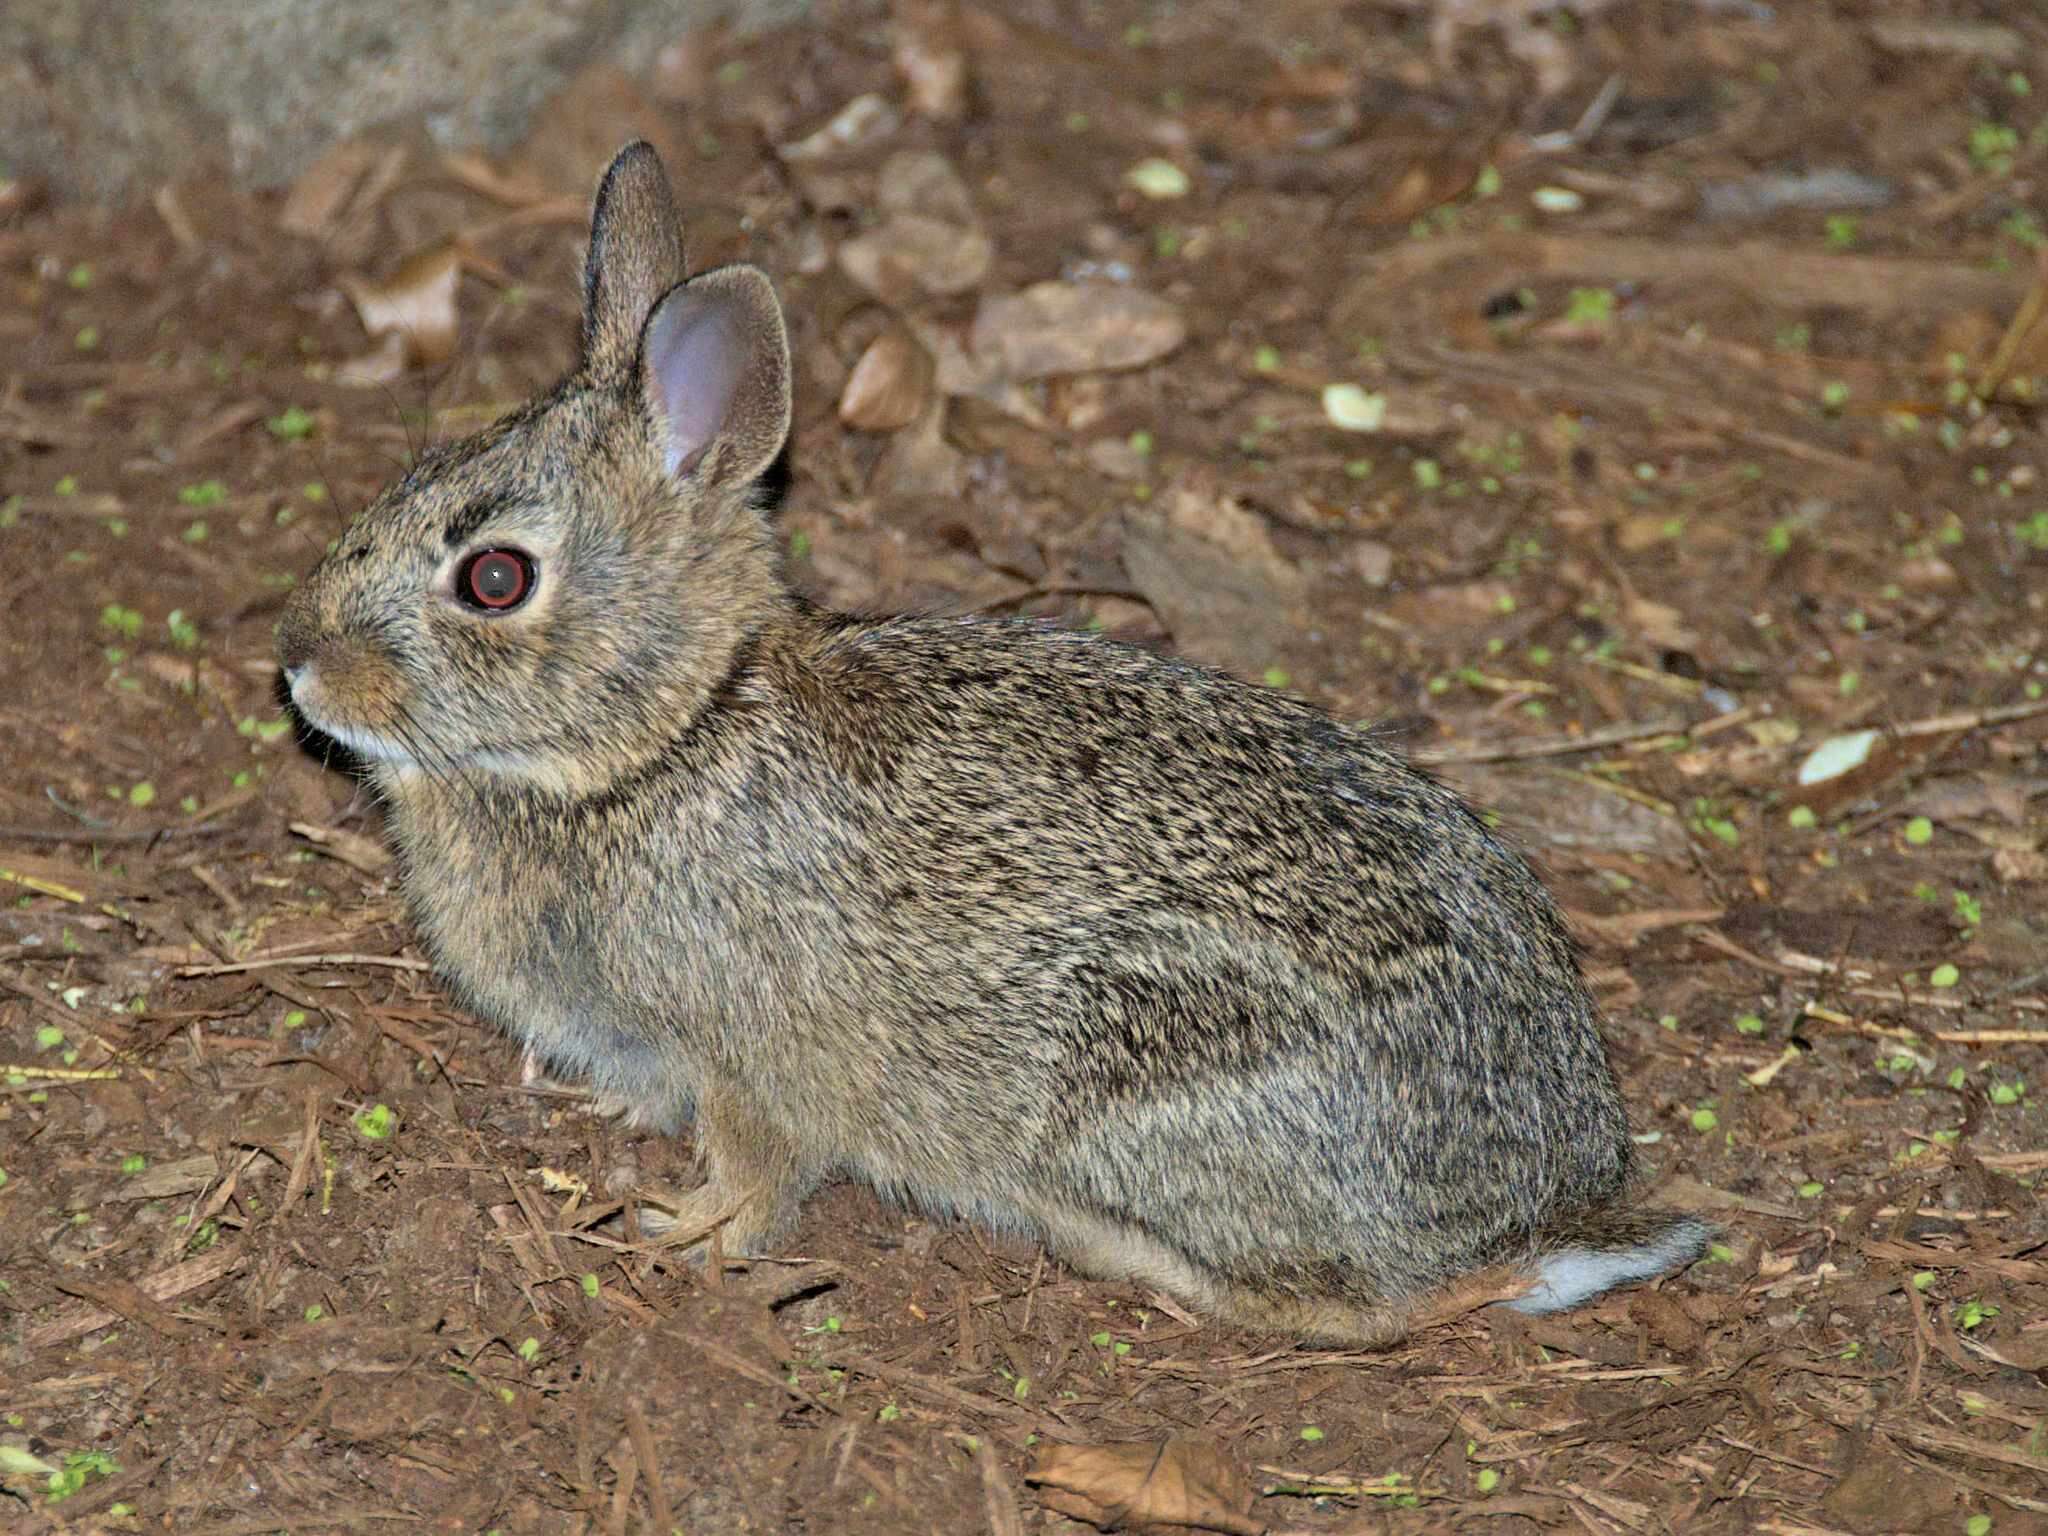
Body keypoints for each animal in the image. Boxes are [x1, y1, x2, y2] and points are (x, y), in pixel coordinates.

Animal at [280, 144, 1703, 1343]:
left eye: (495, 579)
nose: (300, 665)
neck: (661, 741)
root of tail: (1547, 1196)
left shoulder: (753, 1059)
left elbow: (761, 1172)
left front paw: (684, 1232)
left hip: (1142, 1079)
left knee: (1372, 1303)